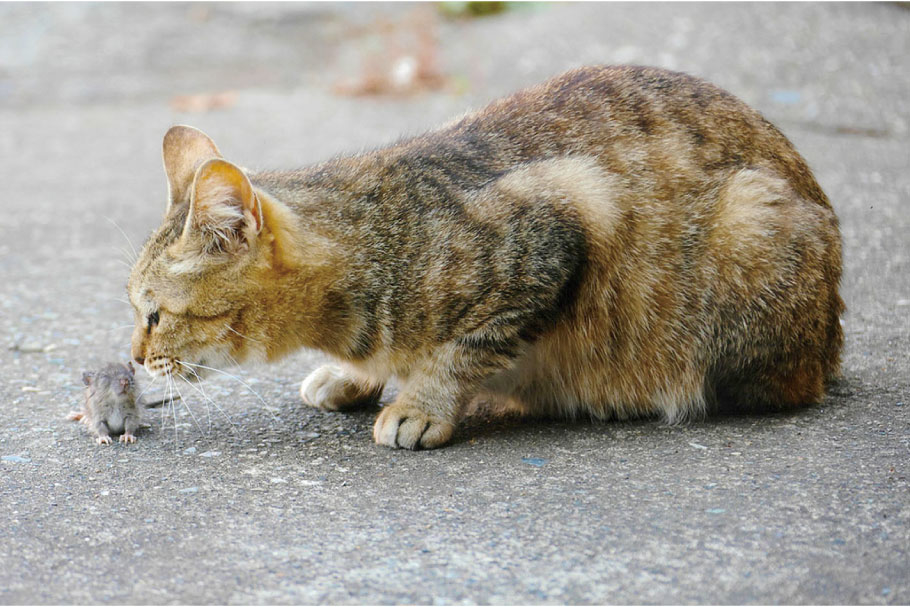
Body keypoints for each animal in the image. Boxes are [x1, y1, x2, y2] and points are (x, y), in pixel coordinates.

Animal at [128, 65, 848, 452]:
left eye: (153, 315)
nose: (134, 359)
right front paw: (352, 375)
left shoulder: (556, 231)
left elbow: (463, 349)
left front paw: (422, 403)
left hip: (750, 222)